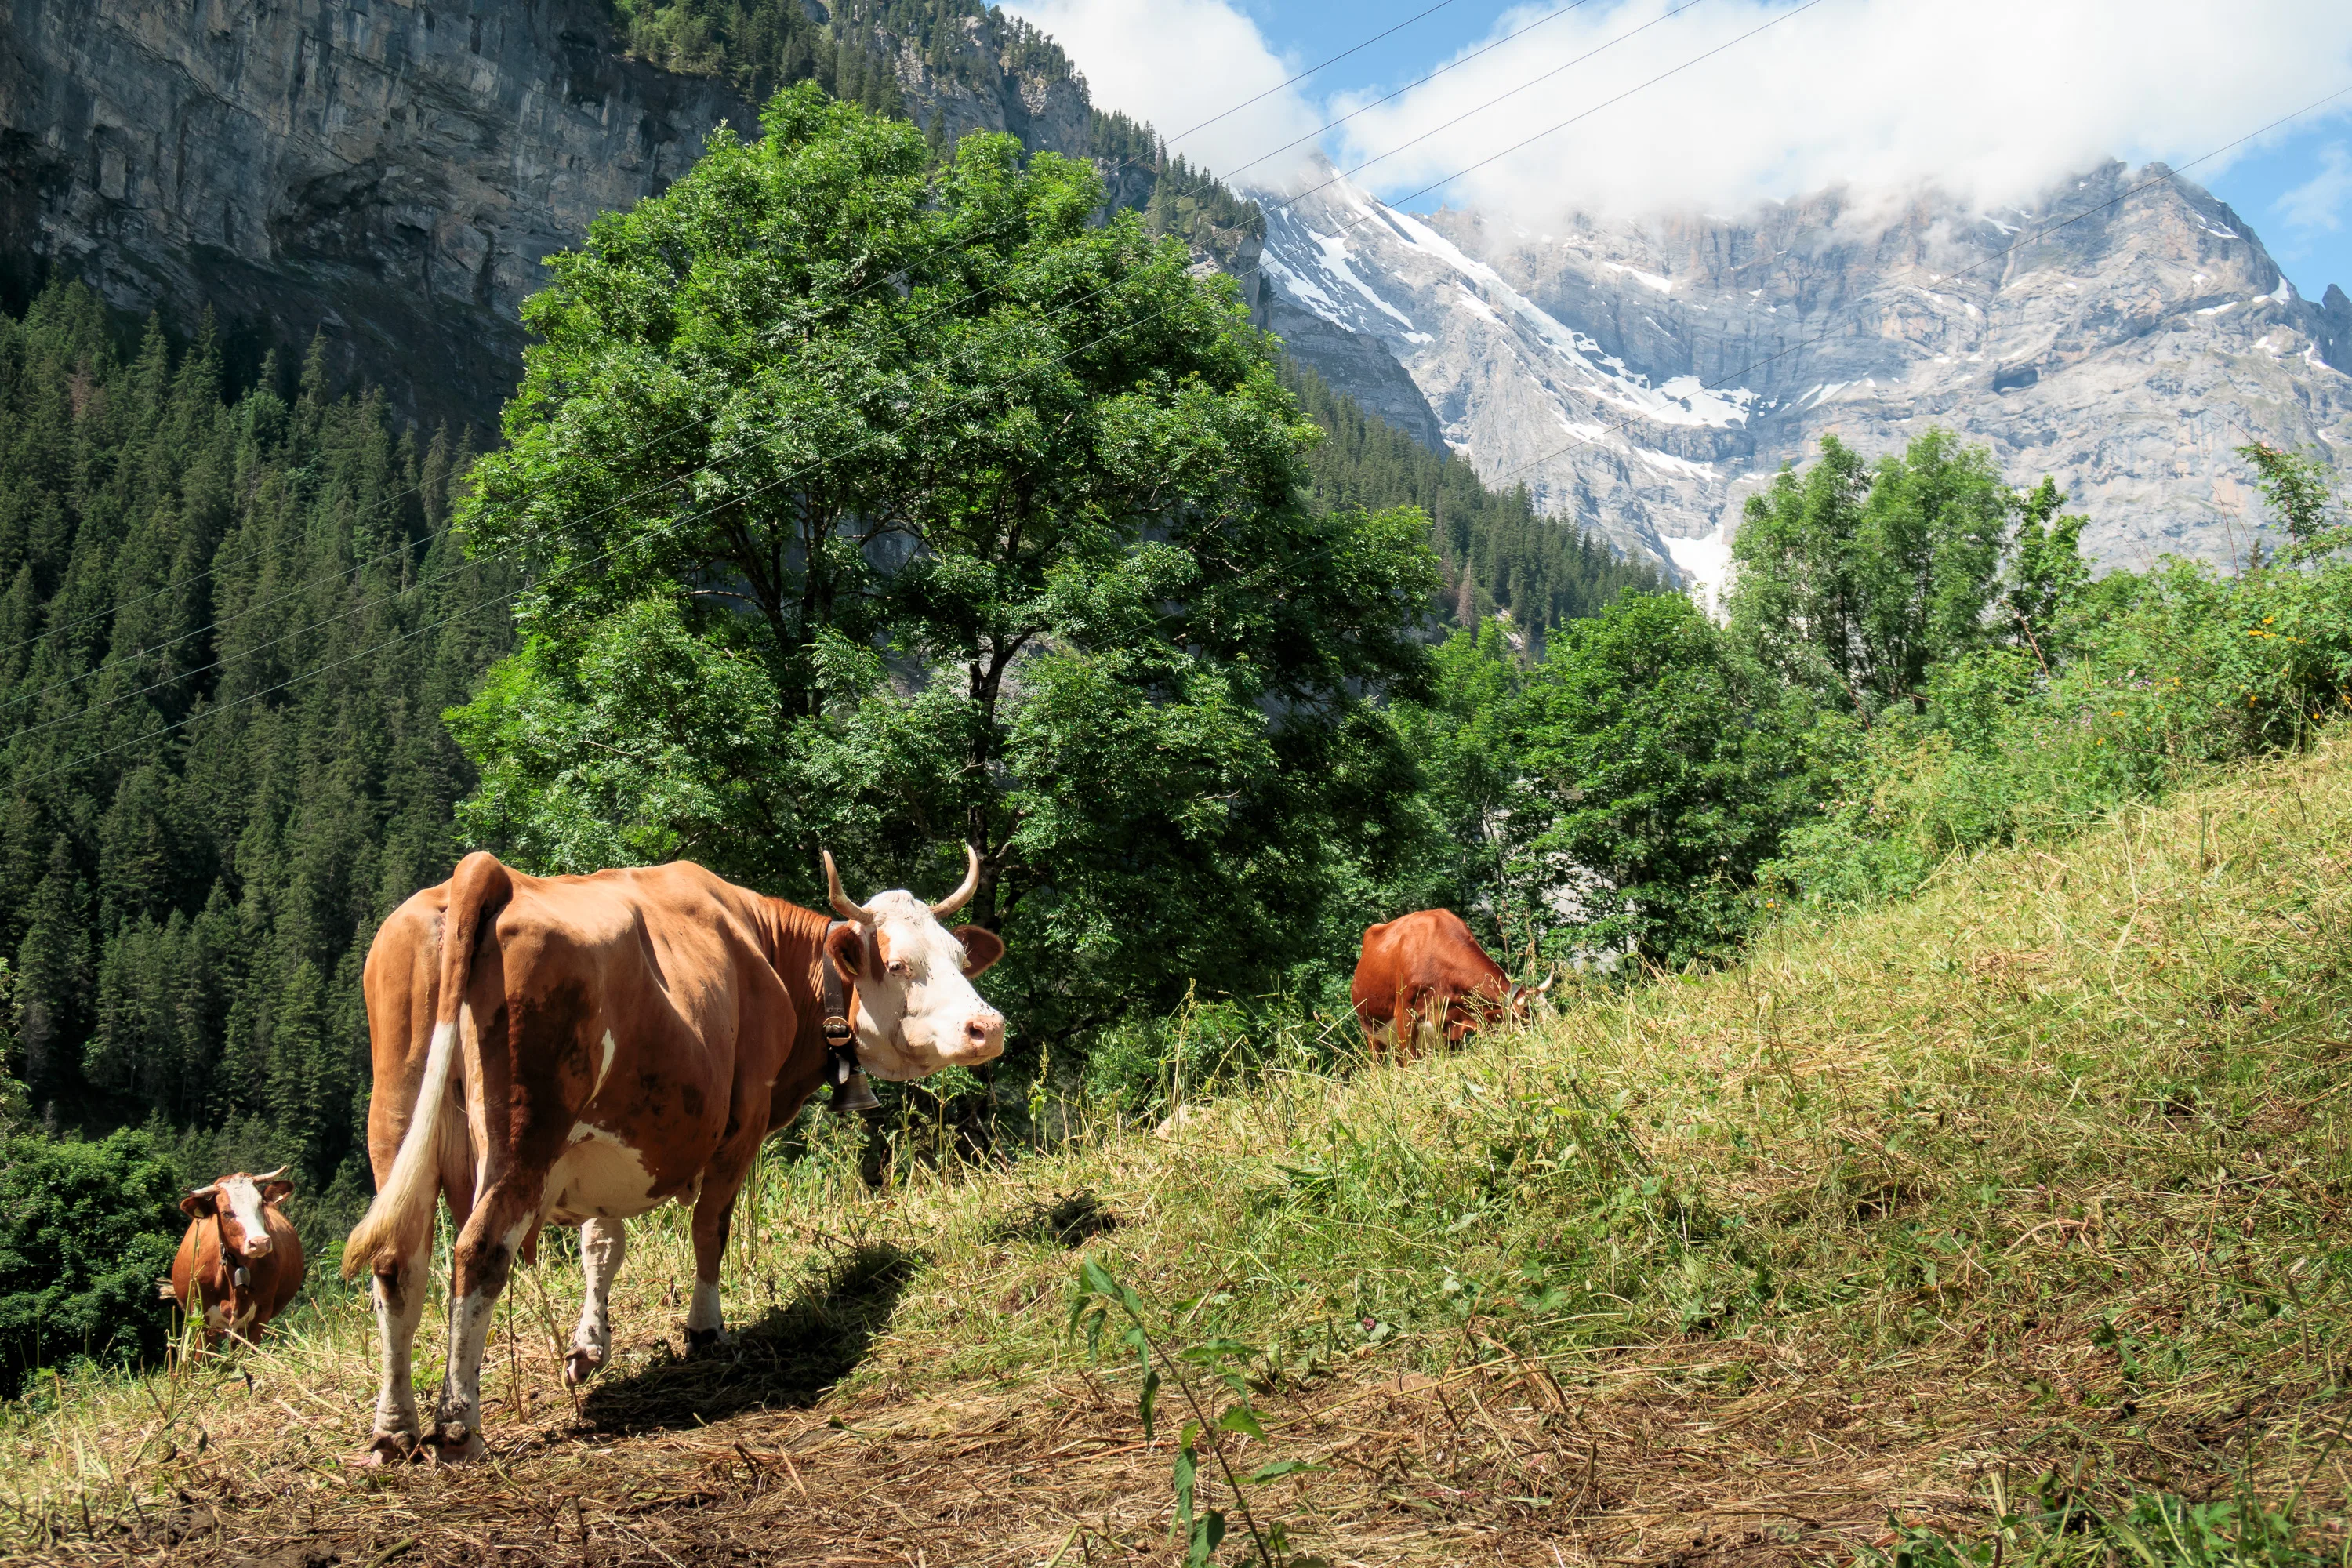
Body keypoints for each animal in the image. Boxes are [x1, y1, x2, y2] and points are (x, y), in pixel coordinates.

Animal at [340, 846, 1006, 1465]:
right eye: (897, 963)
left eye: (958, 957)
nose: (988, 1027)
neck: (768, 953)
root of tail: (486, 872)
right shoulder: (744, 1117)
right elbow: (711, 1226)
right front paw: (706, 1330)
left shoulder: (604, 1141)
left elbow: (601, 1243)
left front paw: (589, 1347)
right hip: (526, 1130)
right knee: (478, 1251)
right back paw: (458, 1429)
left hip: (397, 1121)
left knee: (398, 1264)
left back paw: (394, 1430)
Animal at [1351, 909, 1550, 1061]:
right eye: (1526, 1022)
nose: (1544, 1046)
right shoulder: (1404, 1015)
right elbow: (1411, 1063)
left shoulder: (1453, 1025)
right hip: (1372, 1032)